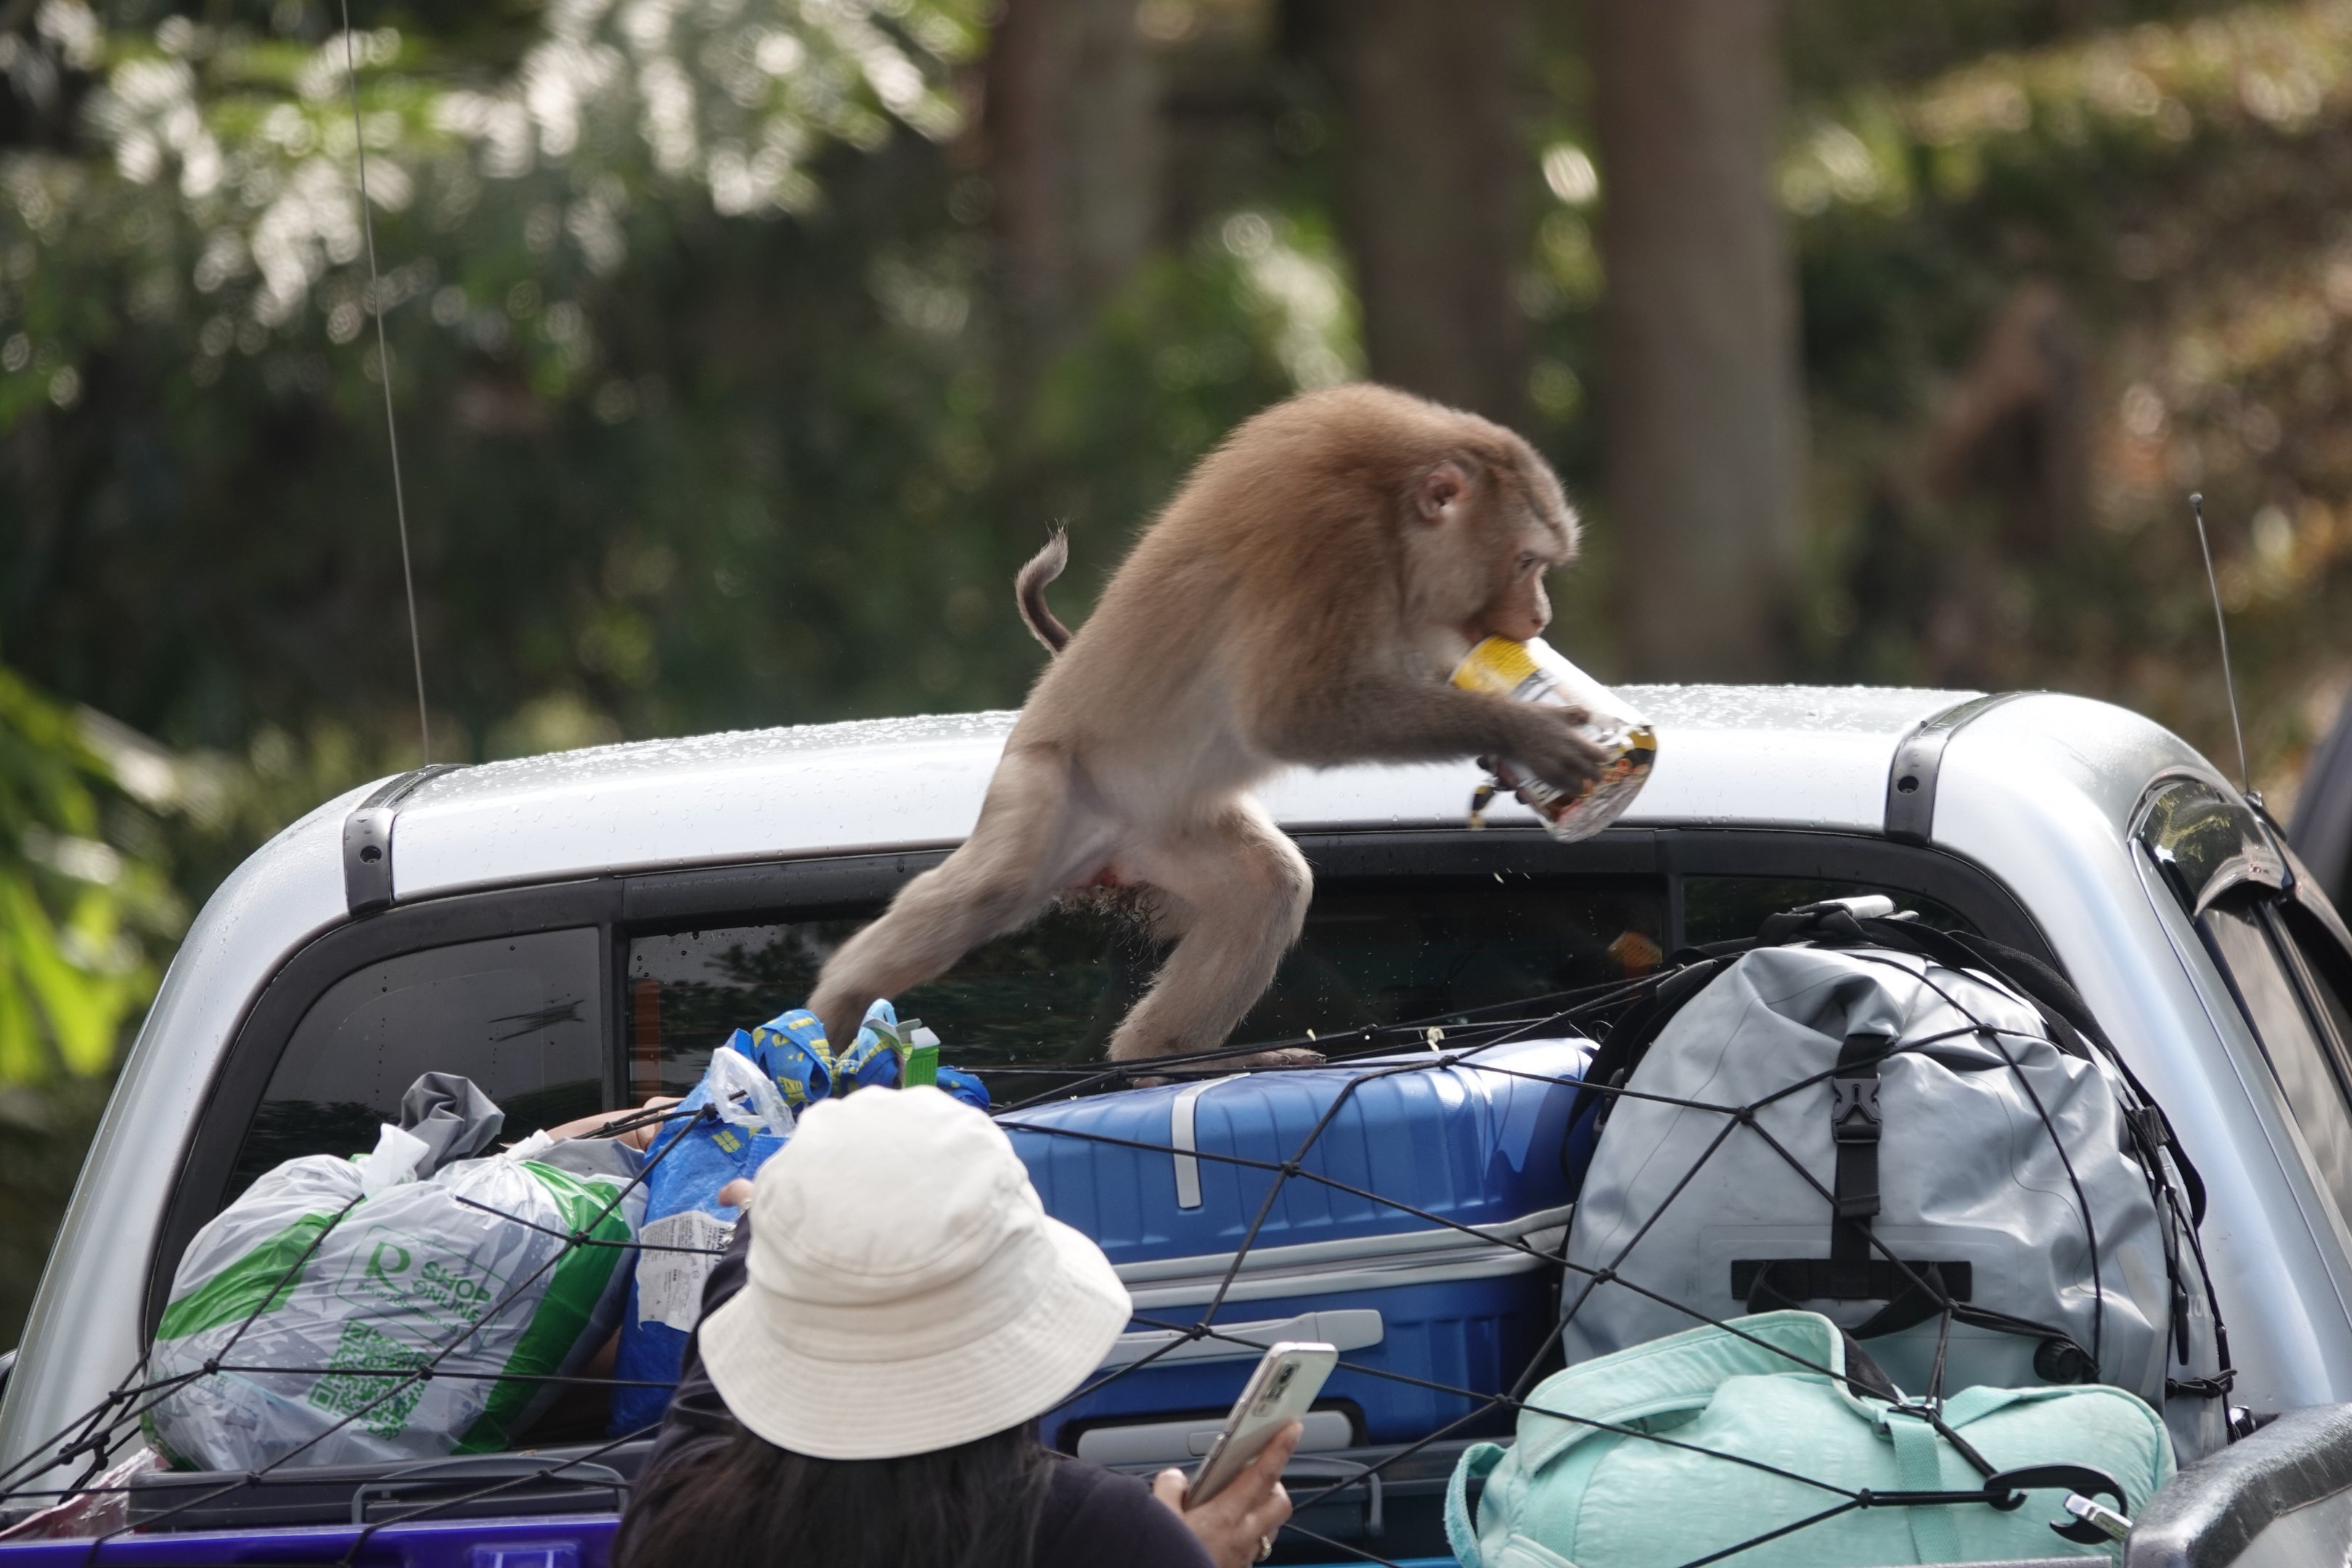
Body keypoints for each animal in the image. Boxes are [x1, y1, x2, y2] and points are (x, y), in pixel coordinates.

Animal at [808, 383, 1606, 1067]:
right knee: (994, 887)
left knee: (1264, 889)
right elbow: (1288, 717)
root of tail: (1112, 851)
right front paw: (1527, 735)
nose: (1540, 617)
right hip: (1050, 788)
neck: (1392, 510)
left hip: (1168, 832)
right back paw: (838, 1005)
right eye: (1527, 561)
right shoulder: (1332, 543)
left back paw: (1159, 1059)